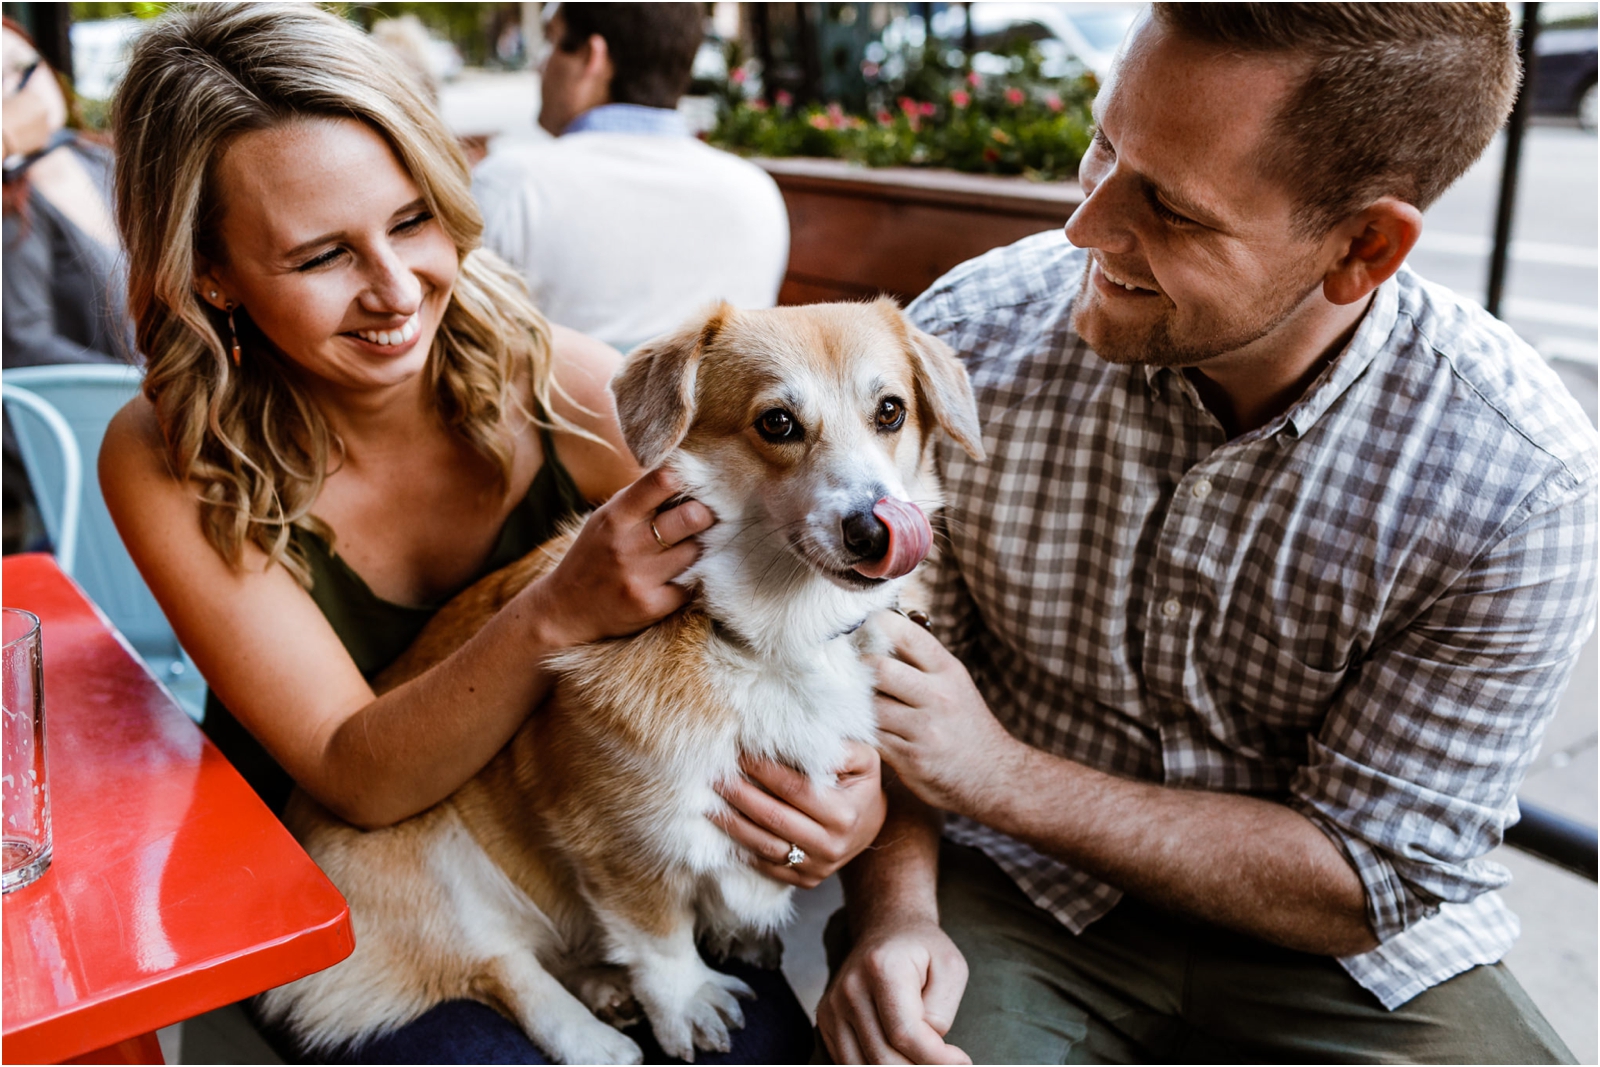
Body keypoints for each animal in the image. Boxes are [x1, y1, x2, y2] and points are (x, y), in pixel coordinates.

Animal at [260, 295, 979, 1062]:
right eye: (777, 422)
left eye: (891, 411)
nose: (875, 532)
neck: (769, 636)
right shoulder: (621, 840)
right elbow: (657, 934)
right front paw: (687, 1002)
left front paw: (733, 931)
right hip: (432, 860)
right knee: (494, 963)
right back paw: (594, 1036)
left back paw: (604, 985)